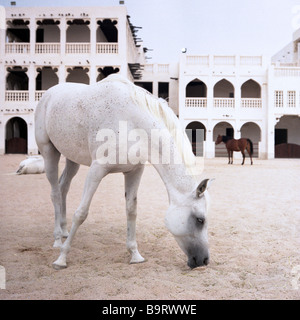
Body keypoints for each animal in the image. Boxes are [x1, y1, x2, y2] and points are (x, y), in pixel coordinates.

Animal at [35, 75, 212, 270]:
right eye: (200, 220)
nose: (204, 261)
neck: (131, 122)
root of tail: (48, 94)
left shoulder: (134, 171)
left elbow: (131, 210)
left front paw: (135, 254)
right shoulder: (96, 170)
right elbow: (81, 213)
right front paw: (62, 258)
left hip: (72, 159)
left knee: (63, 188)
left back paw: (65, 231)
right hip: (49, 152)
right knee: (55, 193)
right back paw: (58, 239)